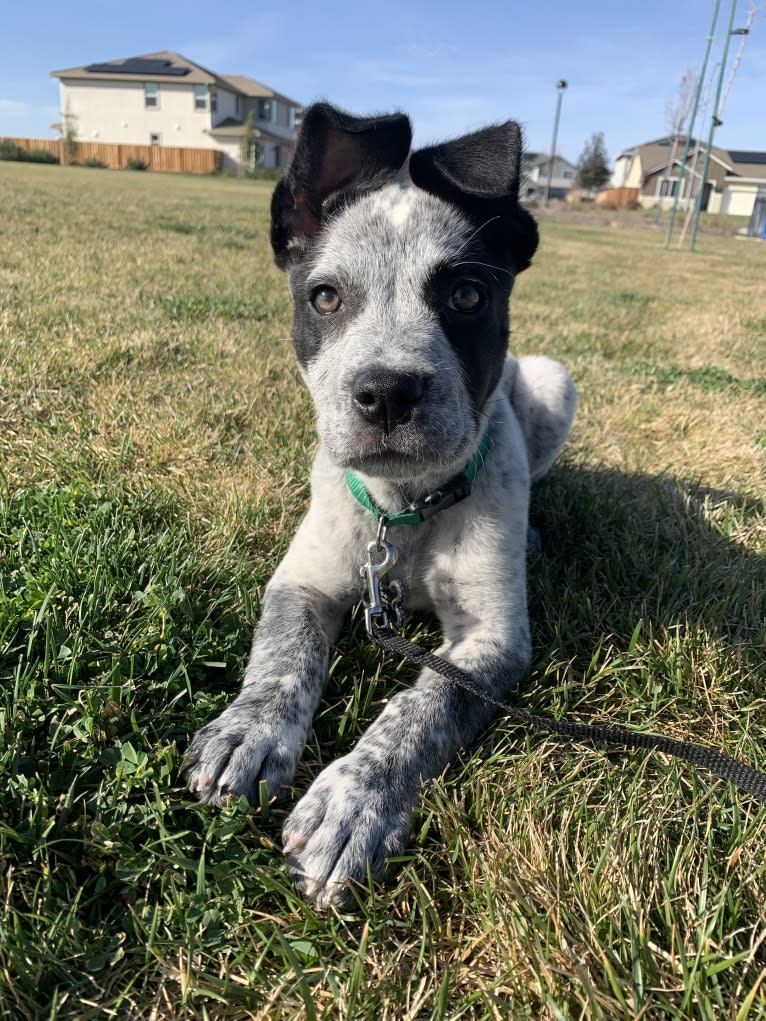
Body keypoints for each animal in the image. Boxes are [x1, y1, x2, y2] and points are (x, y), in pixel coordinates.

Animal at [187, 103, 576, 906]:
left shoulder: (492, 640)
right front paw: (249, 732)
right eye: (325, 297)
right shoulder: (302, 581)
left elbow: (420, 710)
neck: (406, 510)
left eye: (466, 296)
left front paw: (352, 804)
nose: (388, 392)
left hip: (555, 381)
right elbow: (282, 657)